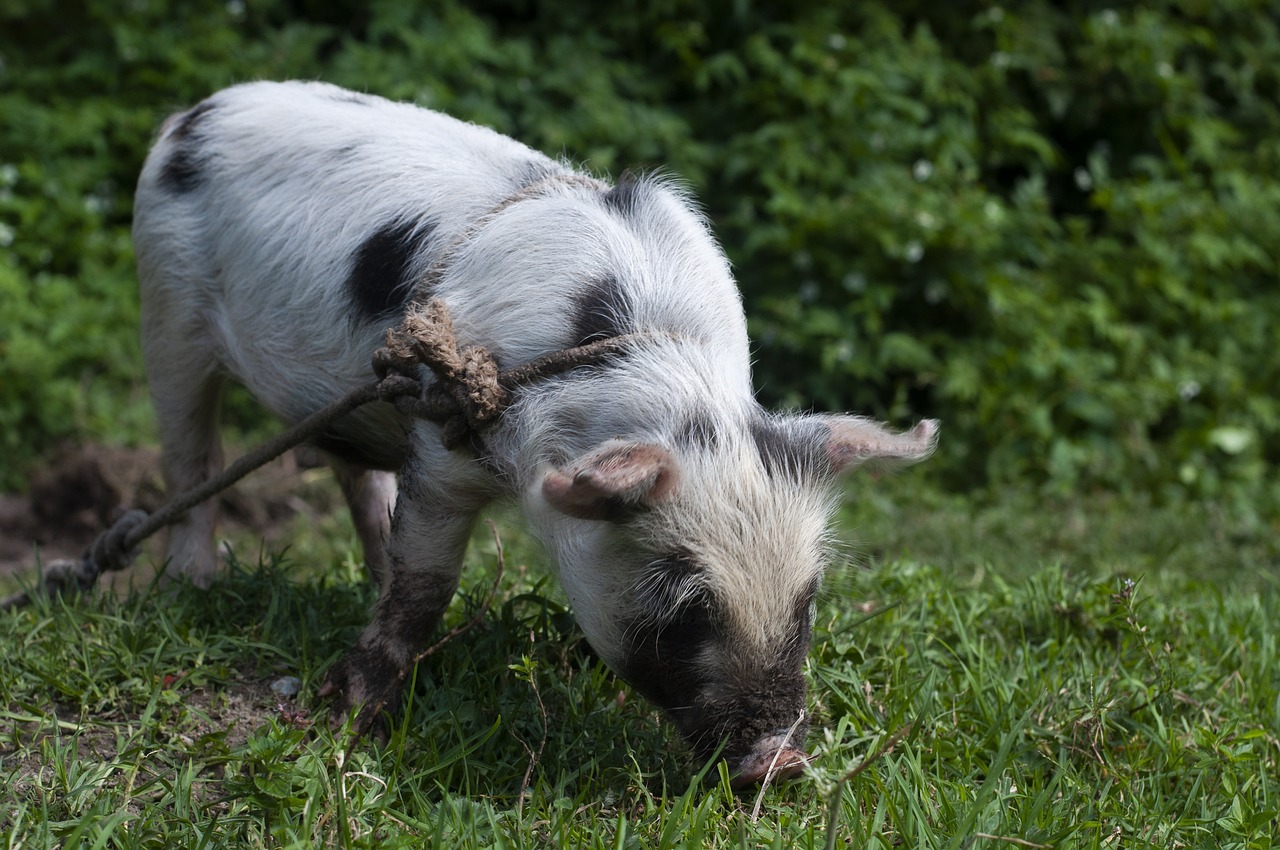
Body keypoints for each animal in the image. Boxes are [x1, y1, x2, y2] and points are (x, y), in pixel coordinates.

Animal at [132, 83, 942, 788]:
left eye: (807, 601)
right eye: (685, 609)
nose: (780, 763)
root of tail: (192, 113)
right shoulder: (443, 440)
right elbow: (424, 584)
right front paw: (351, 716)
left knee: (355, 481)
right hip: (166, 302)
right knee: (191, 457)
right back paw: (192, 586)